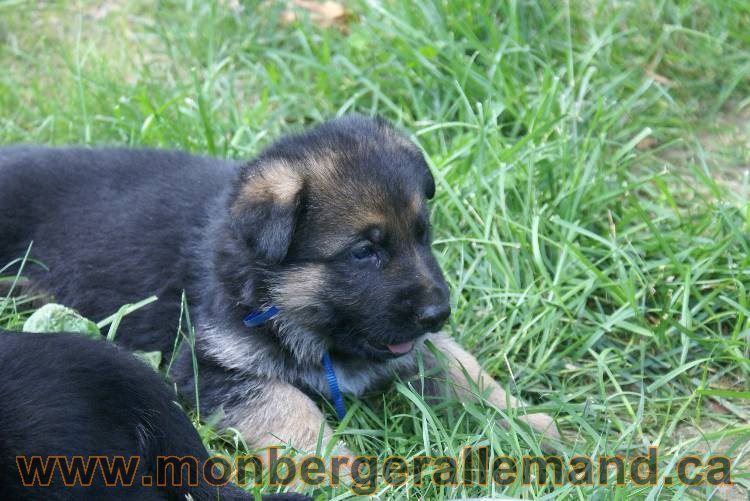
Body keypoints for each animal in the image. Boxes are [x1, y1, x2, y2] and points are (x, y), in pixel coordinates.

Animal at [0, 115, 560, 458]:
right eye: (364, 251)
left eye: (422, 235)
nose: (437, 314)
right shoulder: (206, 368)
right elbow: (291, 407)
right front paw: (338, 469)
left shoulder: (410, 347)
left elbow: (467, 373)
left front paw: (538, 428)